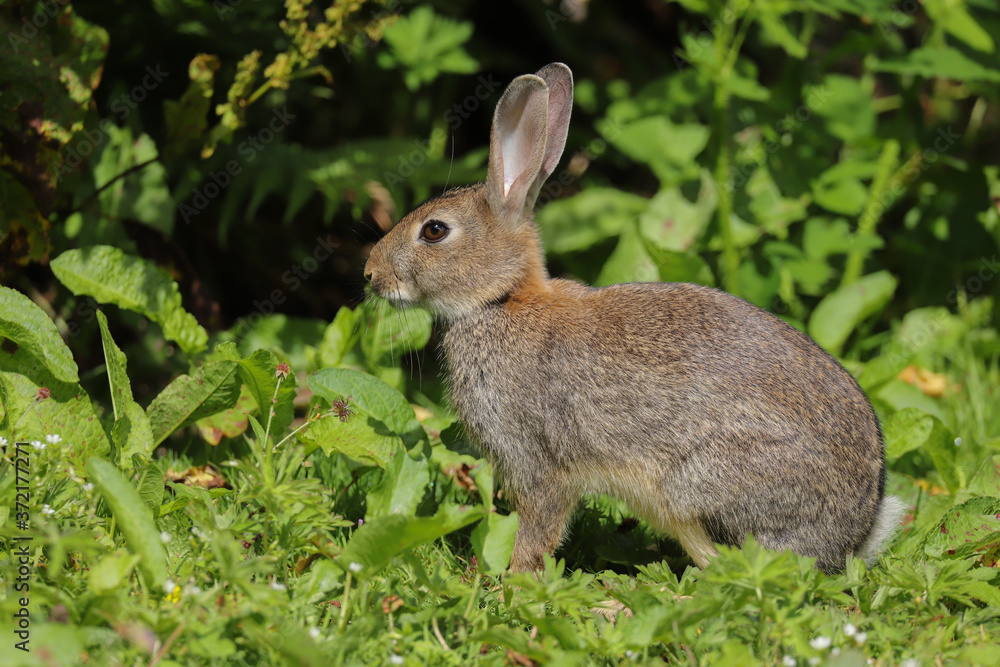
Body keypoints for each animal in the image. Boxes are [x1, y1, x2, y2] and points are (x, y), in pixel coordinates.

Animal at [364, 62, 906, 574]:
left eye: (434, 231)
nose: (370, 274)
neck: (501, 300)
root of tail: (854, 534)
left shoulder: (539, 460)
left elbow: (538, 529)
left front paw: (515, 581)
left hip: (697, 487)